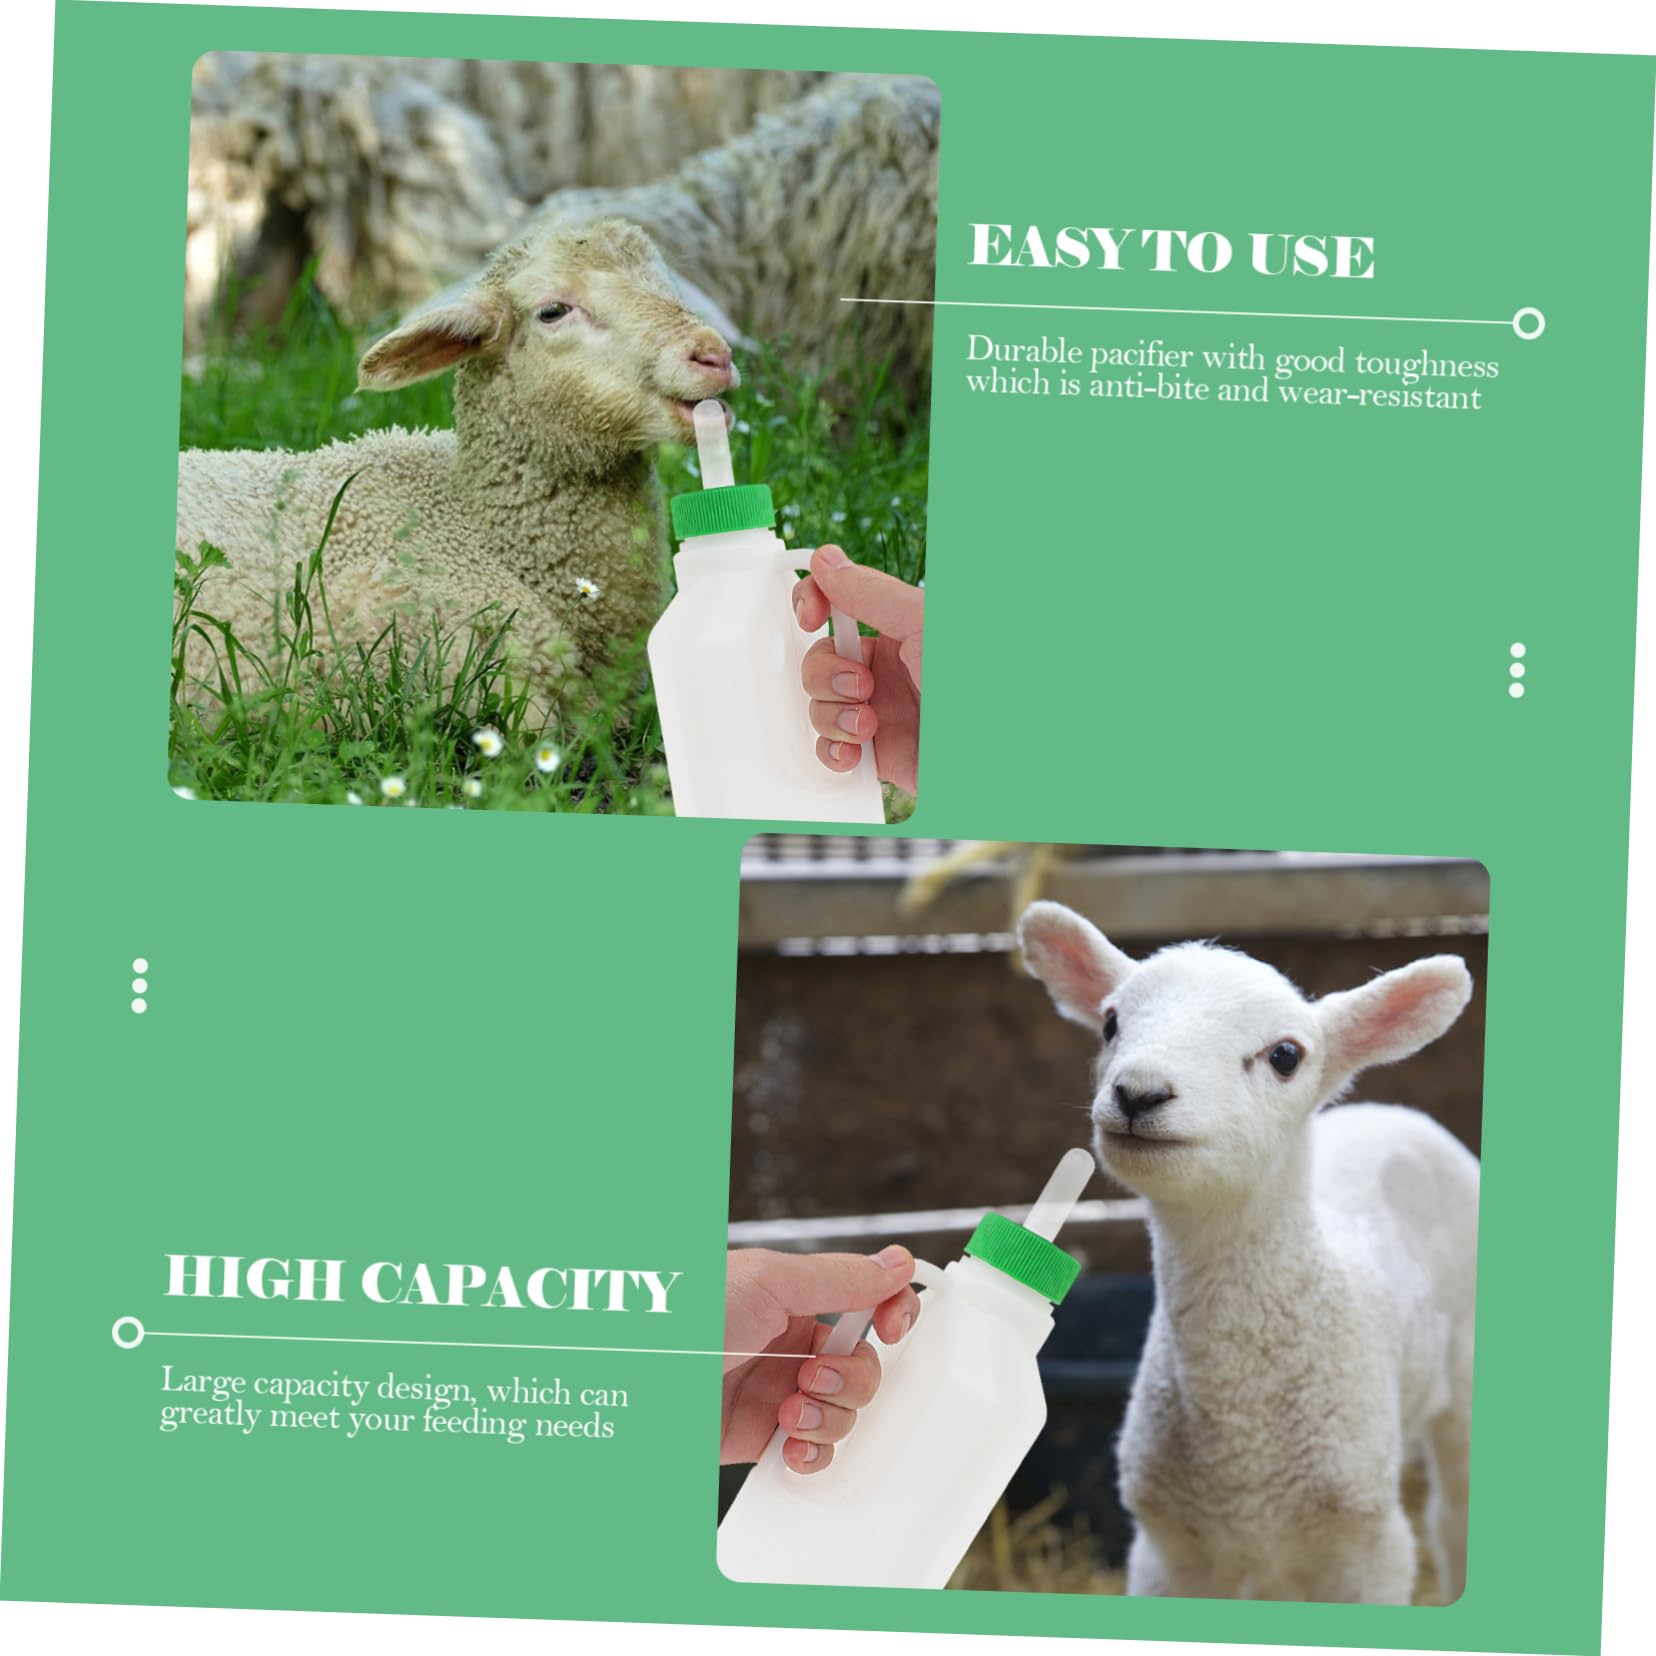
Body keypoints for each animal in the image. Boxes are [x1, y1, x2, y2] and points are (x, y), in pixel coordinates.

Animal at [1017, 901, 1478, 1606]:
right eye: (1111, 1022)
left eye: (1285, 1055)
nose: (1139, 1093)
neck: (1242, 1448)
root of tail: (1393, 1110)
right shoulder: (1169, 1554)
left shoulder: (1369, 1551)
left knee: (1454, 1518)